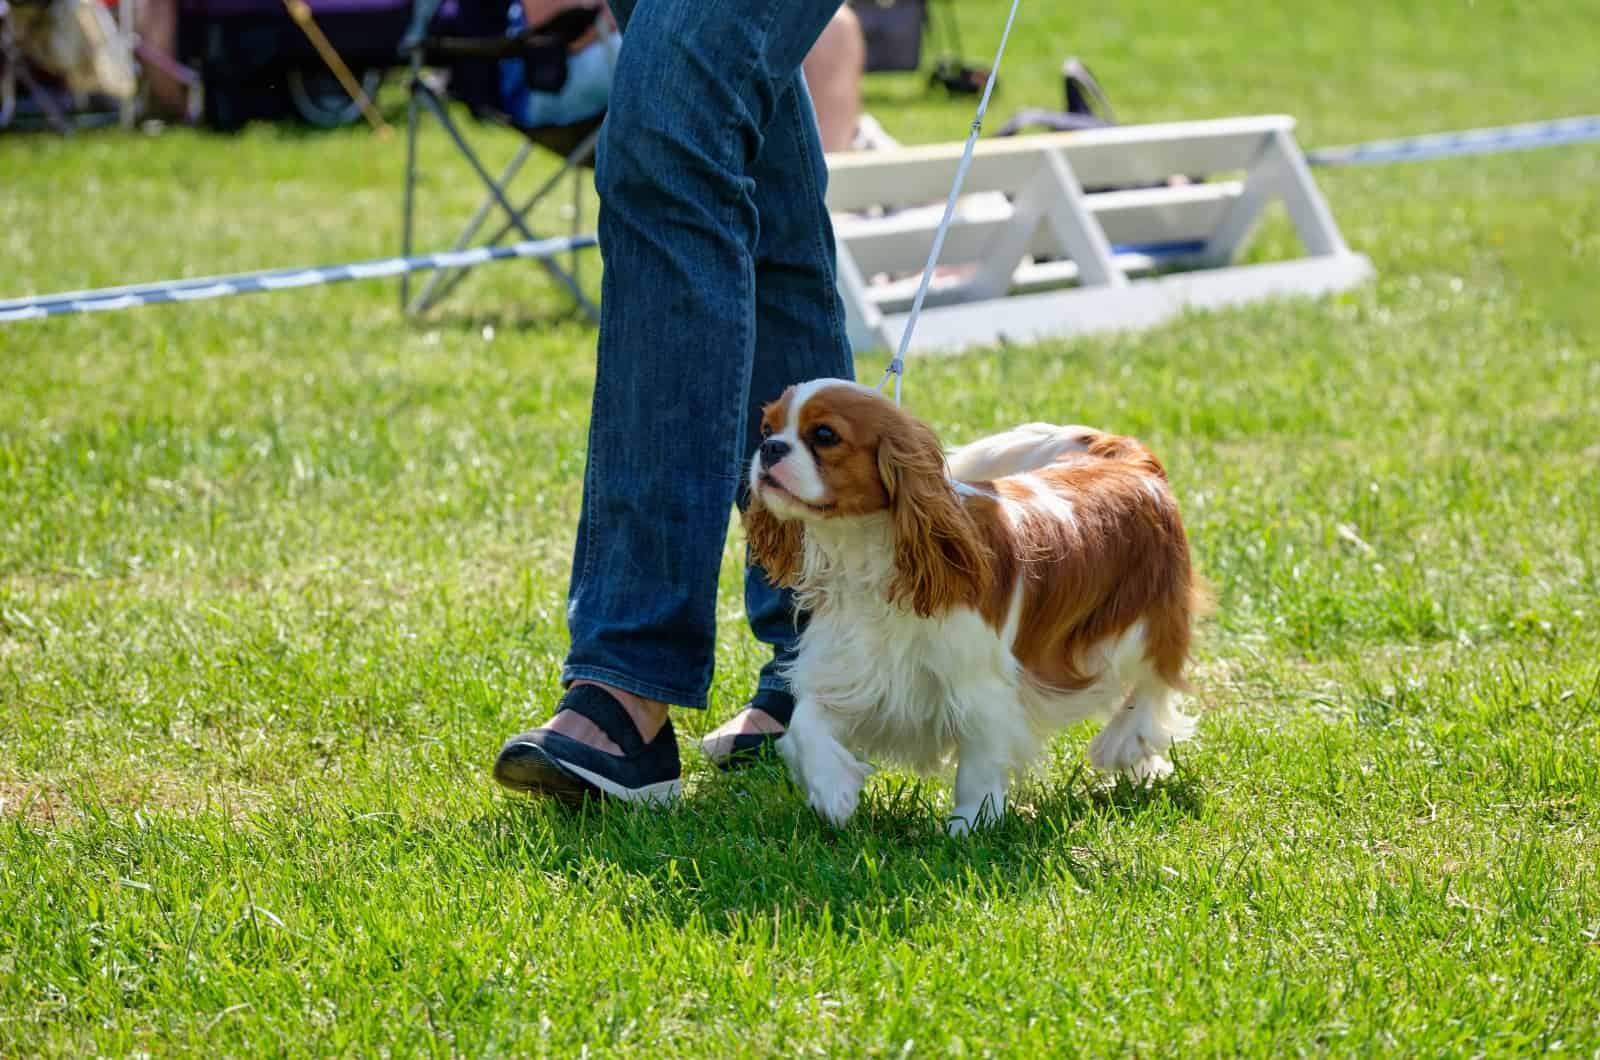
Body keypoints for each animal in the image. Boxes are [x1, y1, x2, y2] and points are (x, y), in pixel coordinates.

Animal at [745, 377, 1203, 832]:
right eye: (766, 429)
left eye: (825, 435)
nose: (770, 448)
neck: (864, 553)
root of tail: (1130, 460)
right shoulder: (857, 671)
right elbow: (804, 723)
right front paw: (833, 791)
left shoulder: (979, 685)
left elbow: (979, 761)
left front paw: (969, 825)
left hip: (1146, 622)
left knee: (1155, 680)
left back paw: (1126, 743)